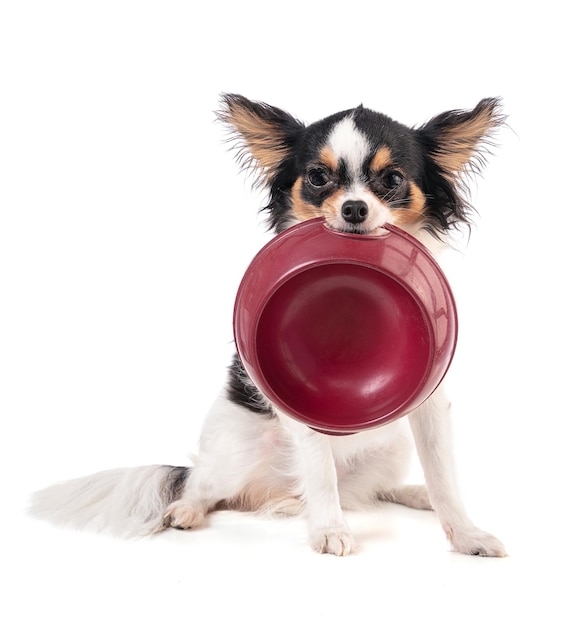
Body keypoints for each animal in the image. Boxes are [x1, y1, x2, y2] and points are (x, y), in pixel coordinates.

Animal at [30, 94, 506, 556]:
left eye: (392, 179)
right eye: (317, 177)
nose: (354, 208)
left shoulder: (431, 406)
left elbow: (443, 476)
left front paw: (466, 534)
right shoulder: (303, 412)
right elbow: (320, 471)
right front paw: (330, 529)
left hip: (390, 449)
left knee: (374, 489)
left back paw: (413, 493)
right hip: (234, 457)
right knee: (203, 486)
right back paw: (186, 509)